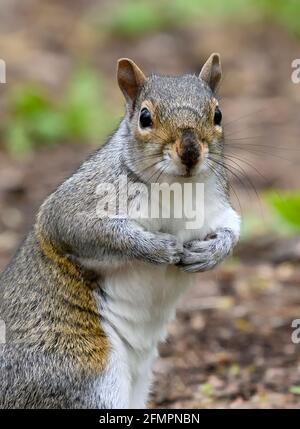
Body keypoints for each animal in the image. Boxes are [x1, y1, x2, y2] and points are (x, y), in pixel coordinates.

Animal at [0, 53, 239, 408]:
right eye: (145, 117)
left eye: (218, 113)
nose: (190, 151)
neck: (178, 188)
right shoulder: (82, 203)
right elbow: (87, 228)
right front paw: (157, 248)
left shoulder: (215, 205)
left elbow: (232, 228)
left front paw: (211, 253)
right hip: (86, 373)